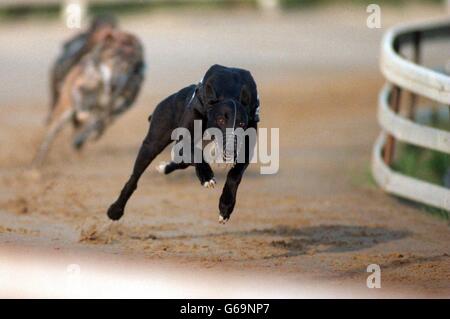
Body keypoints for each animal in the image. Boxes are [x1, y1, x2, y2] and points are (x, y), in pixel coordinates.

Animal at [106, 64, 260, 225]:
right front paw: (207, 177)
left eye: (242, 123)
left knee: (184, 162)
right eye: (221, 120)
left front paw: (225, 208)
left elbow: (234, 175)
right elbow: (195, 154)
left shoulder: (246, 149)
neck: (230, 89)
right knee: (134, 179)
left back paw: (165, 168)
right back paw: (115, 210)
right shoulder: (183, 141)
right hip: (152, 144)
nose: (230, 151)